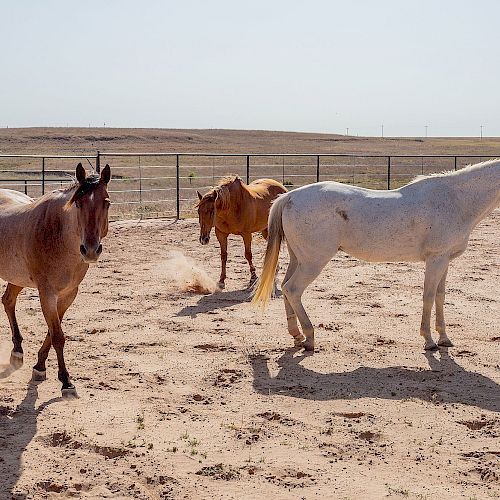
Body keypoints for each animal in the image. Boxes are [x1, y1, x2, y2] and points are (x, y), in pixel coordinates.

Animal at [0, 162, 111, 396]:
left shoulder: (69, 294)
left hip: (16, 277)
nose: (90, 250)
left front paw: (39, 367)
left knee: (8, 301)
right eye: (78, 203)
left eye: (106, 203)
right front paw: (66, 381)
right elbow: (58, 335)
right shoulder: (47, 293)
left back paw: (17, 351)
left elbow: (53, 331)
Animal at [254, 160, 500, 352]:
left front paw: (444, 338)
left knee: (285, 287)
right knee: (293, 289)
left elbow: (440, 296)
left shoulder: (444, 261)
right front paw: (429, 340)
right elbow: (428, 297)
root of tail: (290, 197)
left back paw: (296, 335)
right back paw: (310, 337)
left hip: (299, 259)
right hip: (313, 262)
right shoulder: (435, 260)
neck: (455, 199)